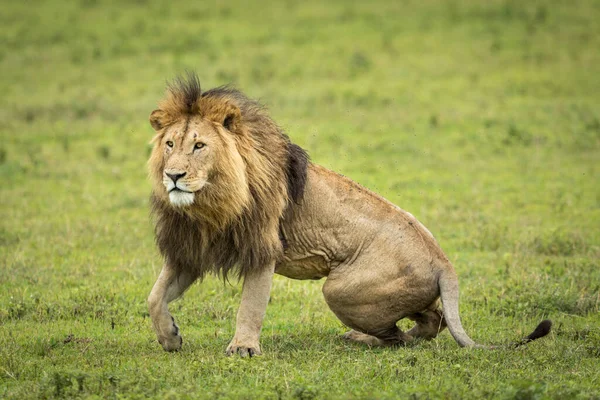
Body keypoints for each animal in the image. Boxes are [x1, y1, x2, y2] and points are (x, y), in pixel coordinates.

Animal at [144, 72, 548, 356]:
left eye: (199, 146)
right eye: (170, 144)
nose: (173, 176)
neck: (209, 205)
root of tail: (443, 261)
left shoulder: (262, 246)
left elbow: (251, 305)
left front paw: (243, 348)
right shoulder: (191, 248)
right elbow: (154, 297)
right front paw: (170, 338)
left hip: (339, 290)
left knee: (400, 336)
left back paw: (360, 338)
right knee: (432, 321)